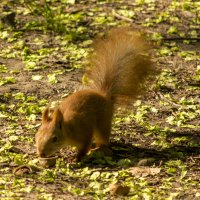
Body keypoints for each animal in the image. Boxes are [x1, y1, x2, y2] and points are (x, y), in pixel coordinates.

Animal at [34, 27, 156, 161]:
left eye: (54, 138)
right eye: (37, 135)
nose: (41, 153)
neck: (69, 129)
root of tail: (105, 96)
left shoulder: (84, 133)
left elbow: (84, 147)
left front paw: (76, 158)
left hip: (103, 123)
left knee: (103, 139)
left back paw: (98, 148)